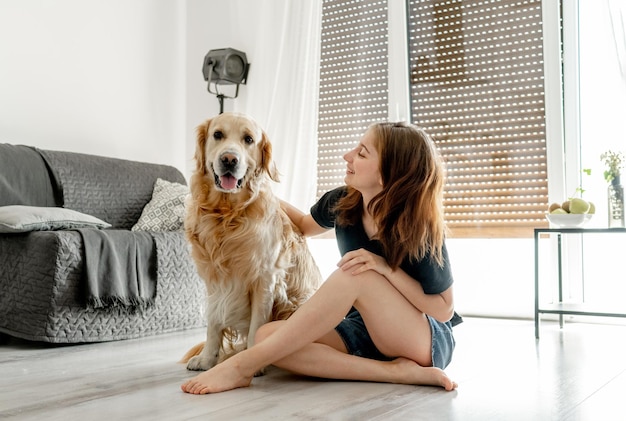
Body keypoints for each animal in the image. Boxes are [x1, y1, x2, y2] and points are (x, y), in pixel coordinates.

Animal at [179, 111, 316, 370]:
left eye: (249, 140)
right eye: (218, 134)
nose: (229, 159)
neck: (227, 215)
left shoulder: (265, 278)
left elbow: (256, 326)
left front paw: (252, 359)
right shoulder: (215, 281)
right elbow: (213, 324)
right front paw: (207, 358)